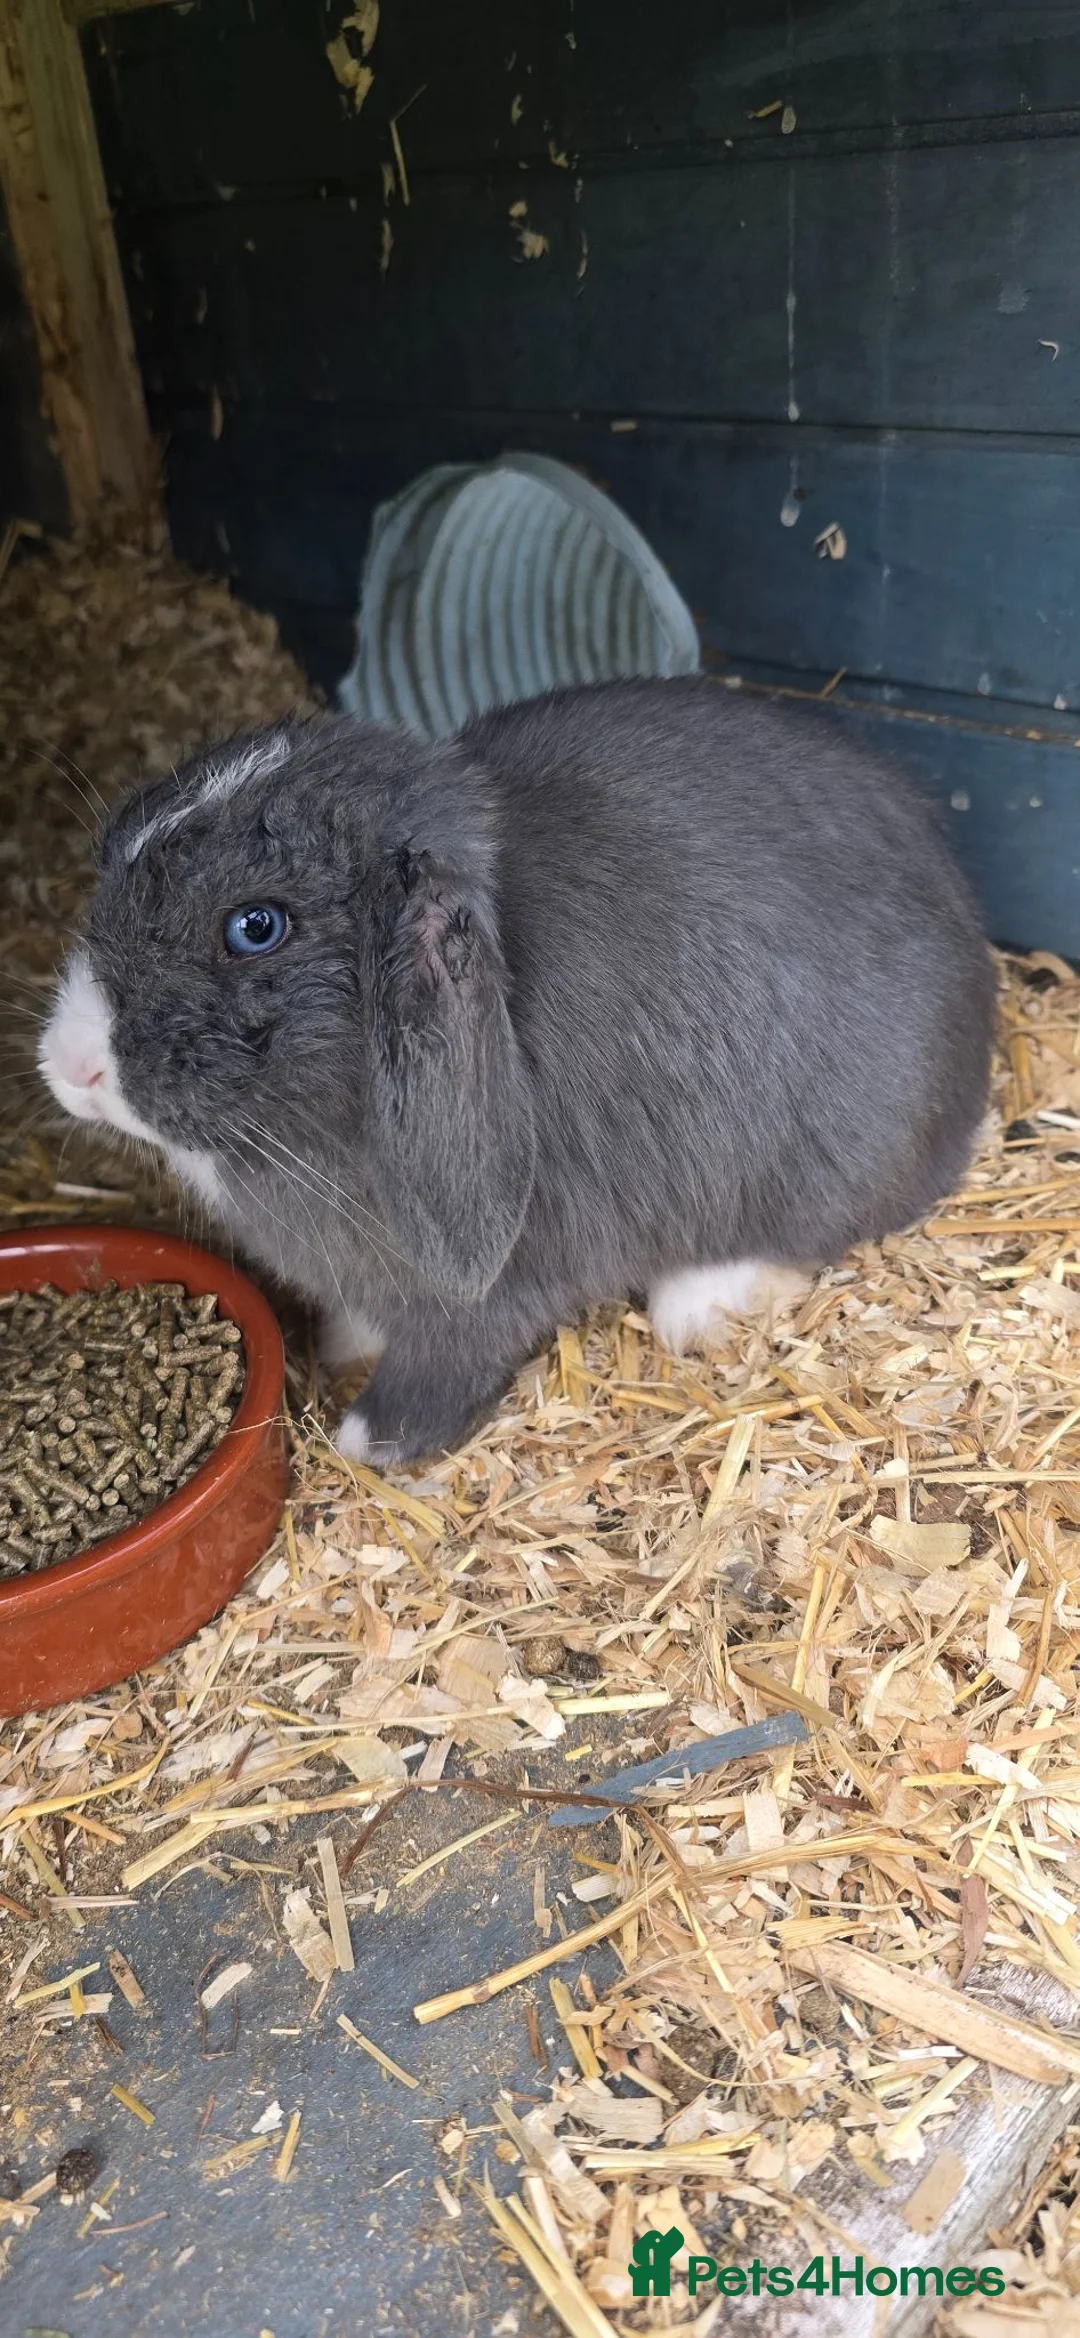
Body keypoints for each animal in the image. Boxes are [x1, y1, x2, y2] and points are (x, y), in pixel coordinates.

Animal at [39, 678, 995, 1466]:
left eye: (255, 927)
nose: (70, 1066)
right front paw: (344, 1347)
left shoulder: (491, 1297)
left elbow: (450, 1359)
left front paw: (373, 1441)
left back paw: (698, 1307)